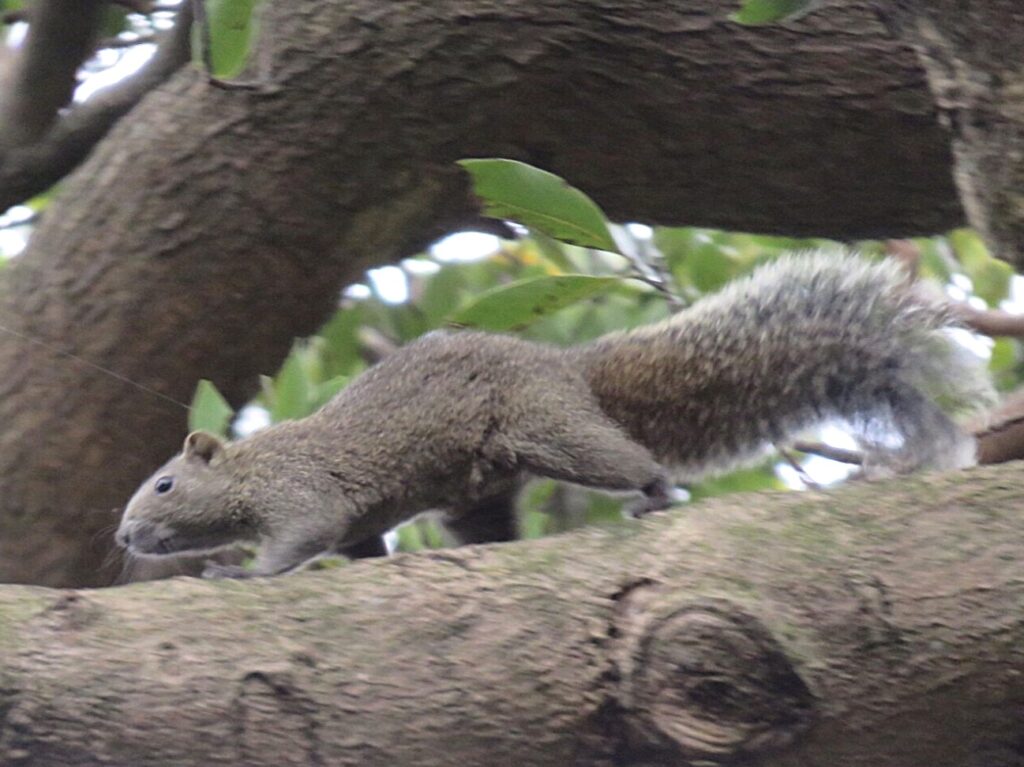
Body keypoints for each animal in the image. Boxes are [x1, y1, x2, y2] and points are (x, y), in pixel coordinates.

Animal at [116, 252, 995, 578]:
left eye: (162, 485)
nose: (123, 537)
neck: (251, 468)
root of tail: (565, 368)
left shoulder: (301, 490)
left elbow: (300, 538)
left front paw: (236, 570)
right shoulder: (355, 515)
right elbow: (358, 543)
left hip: (549, 427)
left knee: (631, 462)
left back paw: (653, 494)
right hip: (477, 495)